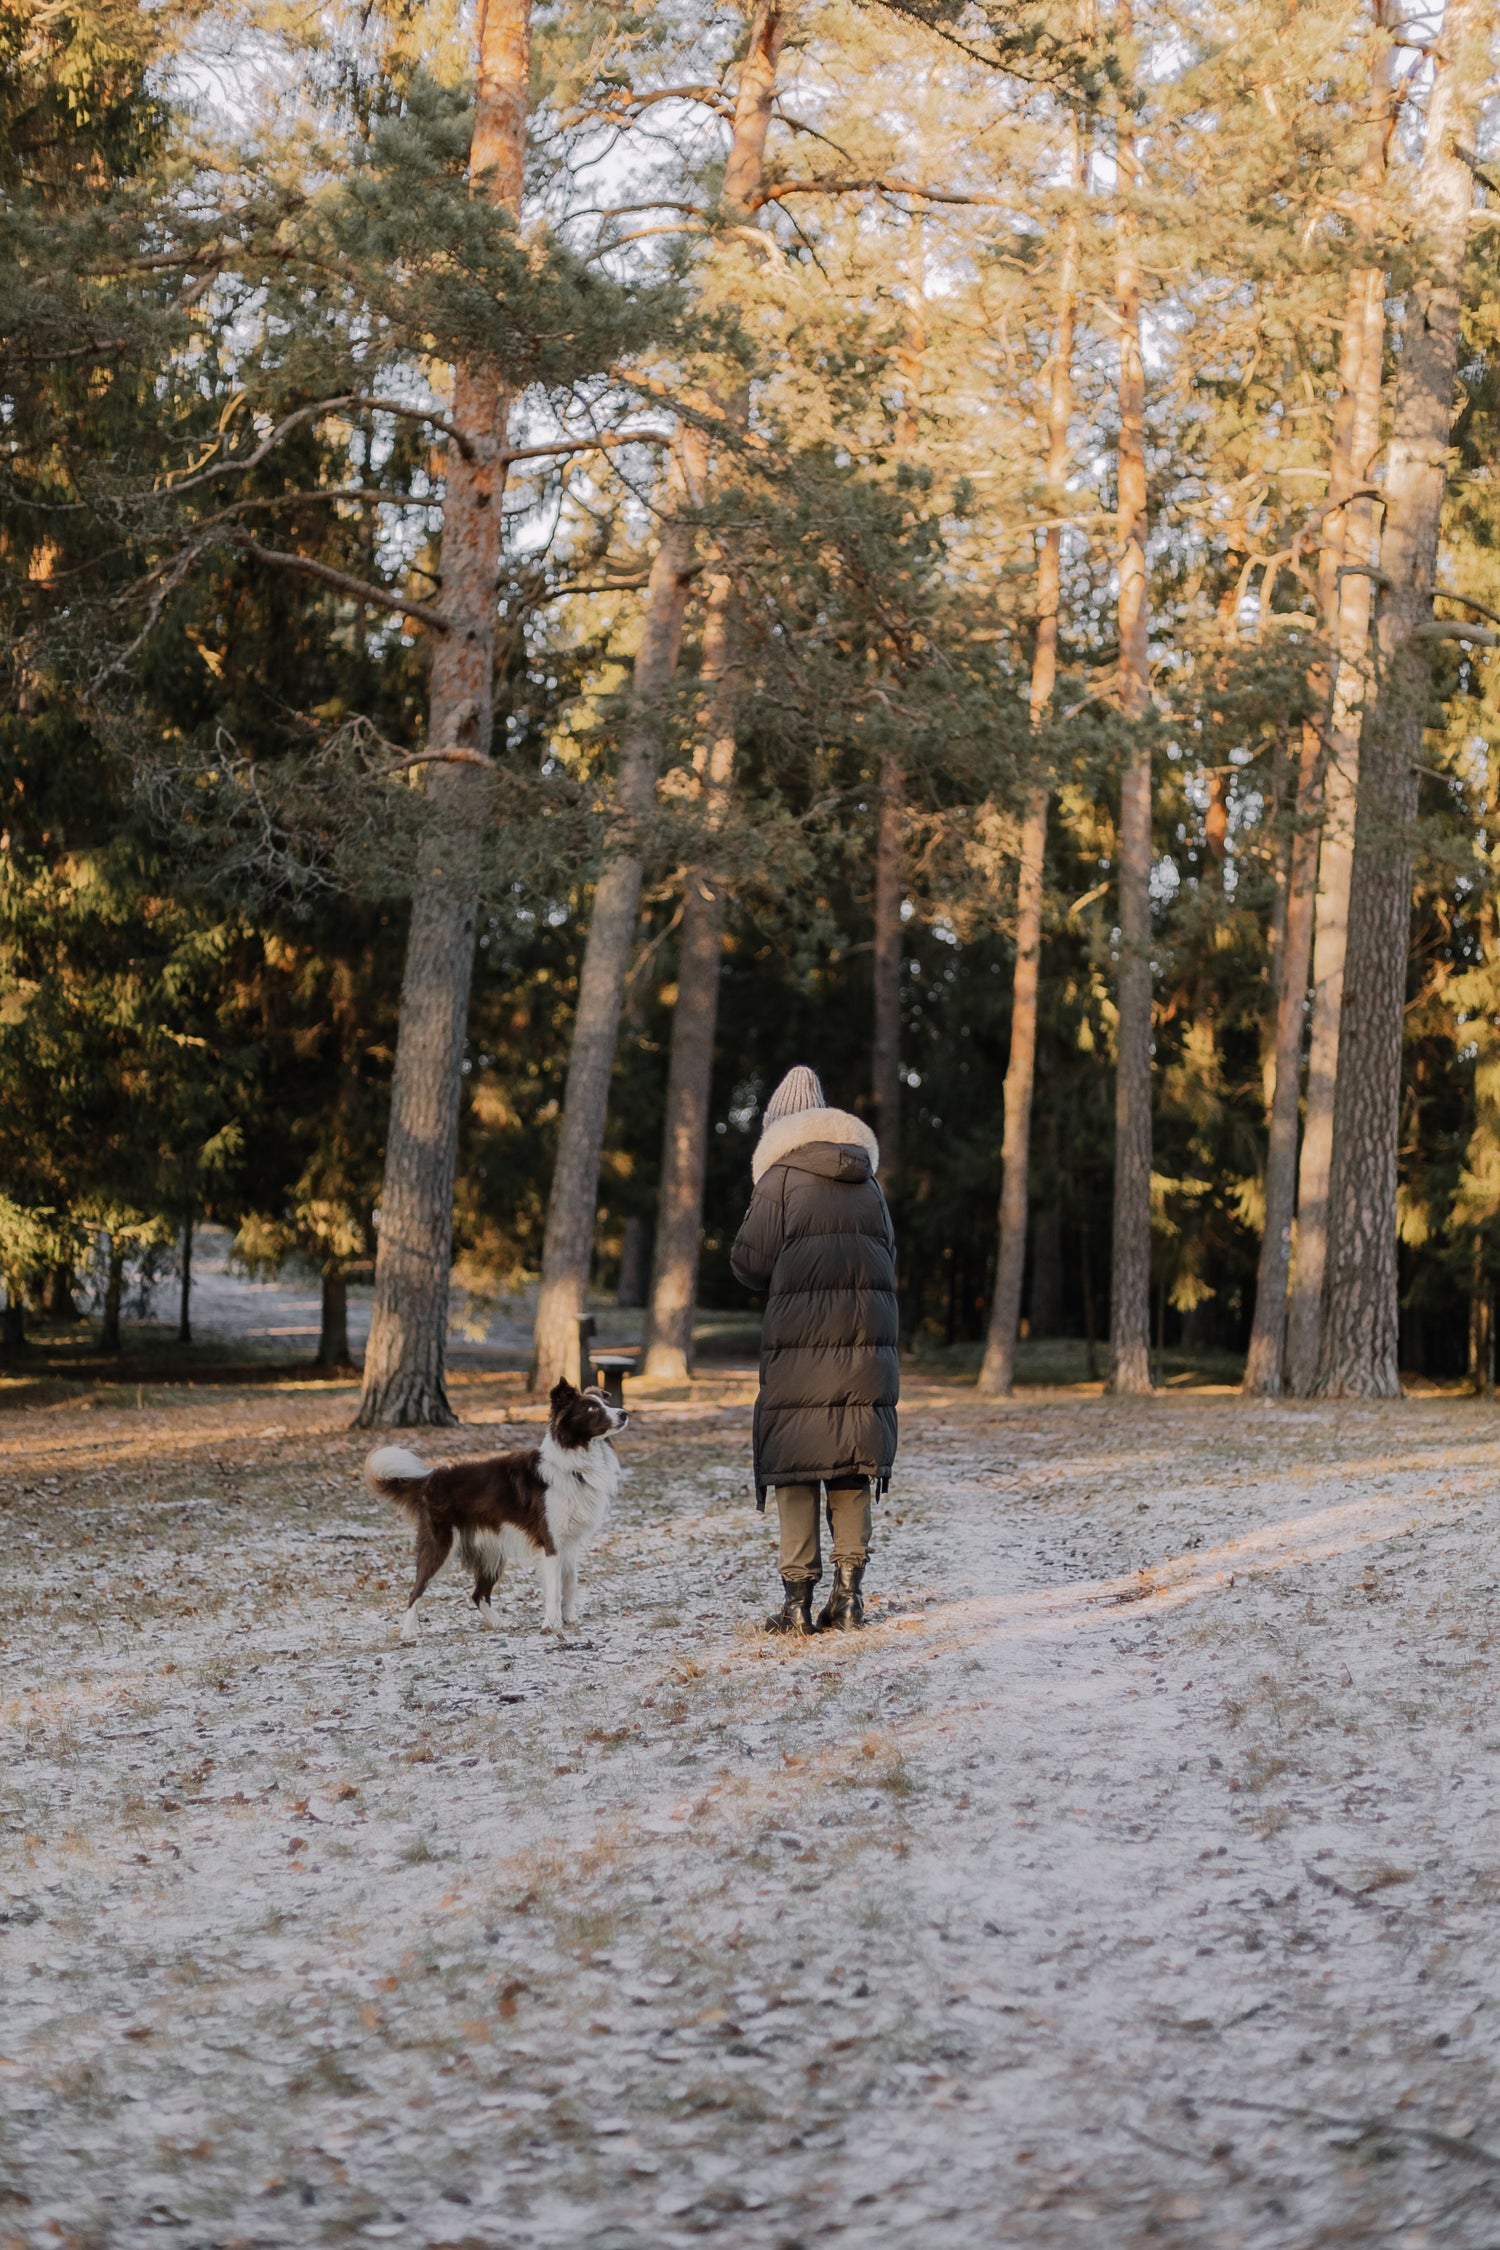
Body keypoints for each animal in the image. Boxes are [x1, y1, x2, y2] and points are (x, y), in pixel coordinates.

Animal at [364, 1368, 629, 1638]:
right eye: (591, 1409)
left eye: (606, 1403)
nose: (624, 1413)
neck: (574, 1463)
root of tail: (430, 1478)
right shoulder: (551, 1542)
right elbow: (554, 1589)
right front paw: (552, 1624)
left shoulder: (570, 1543)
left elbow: (571, 1583)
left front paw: (570, 1619)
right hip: (440, 1546)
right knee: (416, 1590)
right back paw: (408, 1632)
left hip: (491, 1551)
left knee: (478, 1594)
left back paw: (501, 1624)